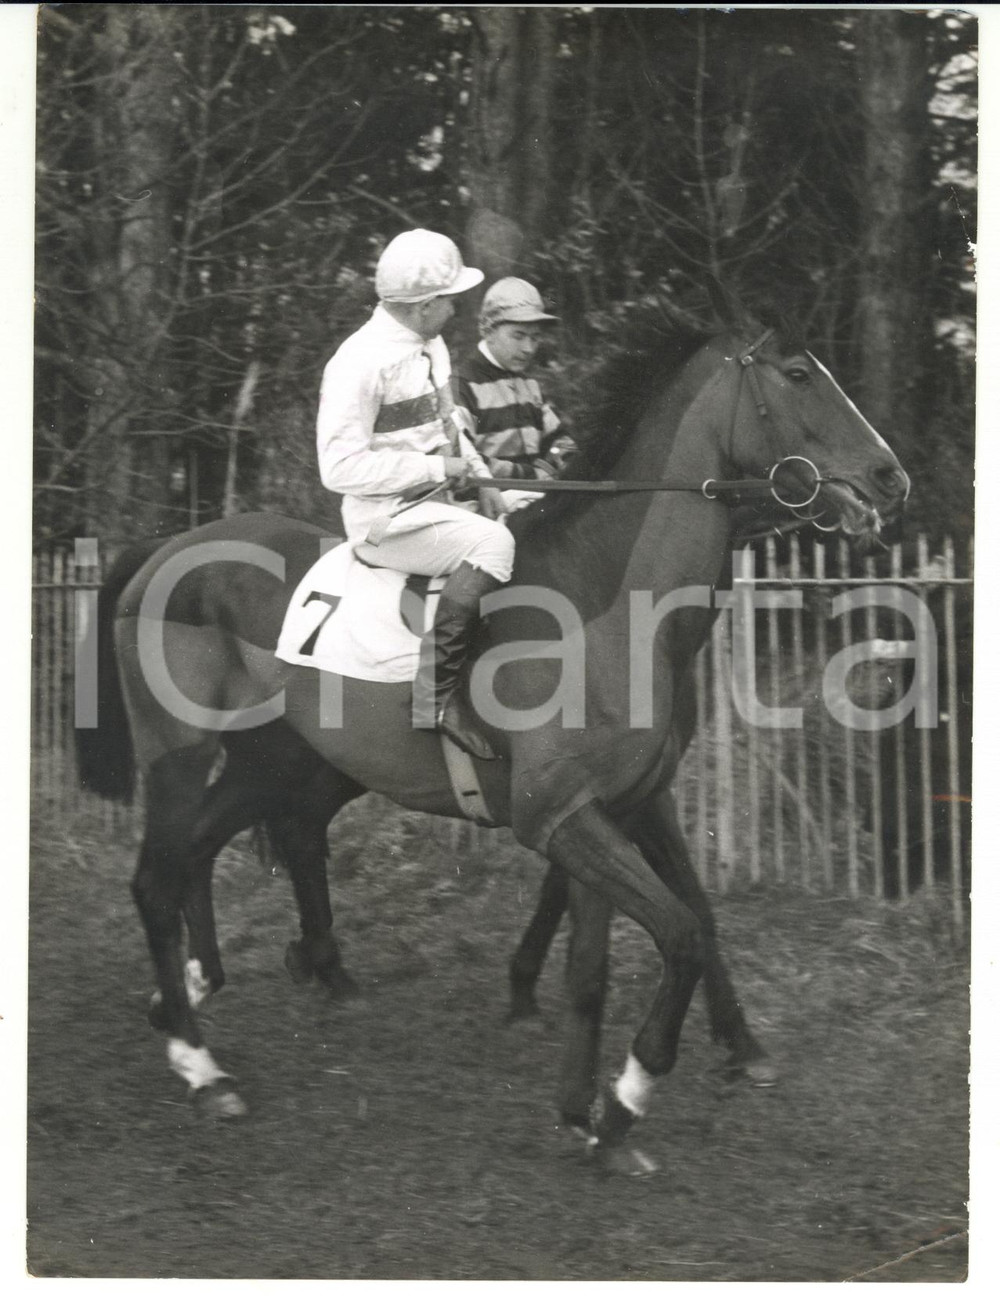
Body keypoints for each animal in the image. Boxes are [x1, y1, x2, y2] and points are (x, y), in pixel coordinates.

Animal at [76, 286, 908, 1169]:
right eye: (799, 374)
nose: (891, 476)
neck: (608, 604)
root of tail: (170, 547)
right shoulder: (560, 817)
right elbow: (679, 933)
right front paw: (628, 1097)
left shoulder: (623, 804)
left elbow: (613, 960)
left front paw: (589, 1111)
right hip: (181, 752)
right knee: (158, 877)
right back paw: (203, 1066)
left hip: (273, 762)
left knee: (209, 849)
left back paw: (203, 991)